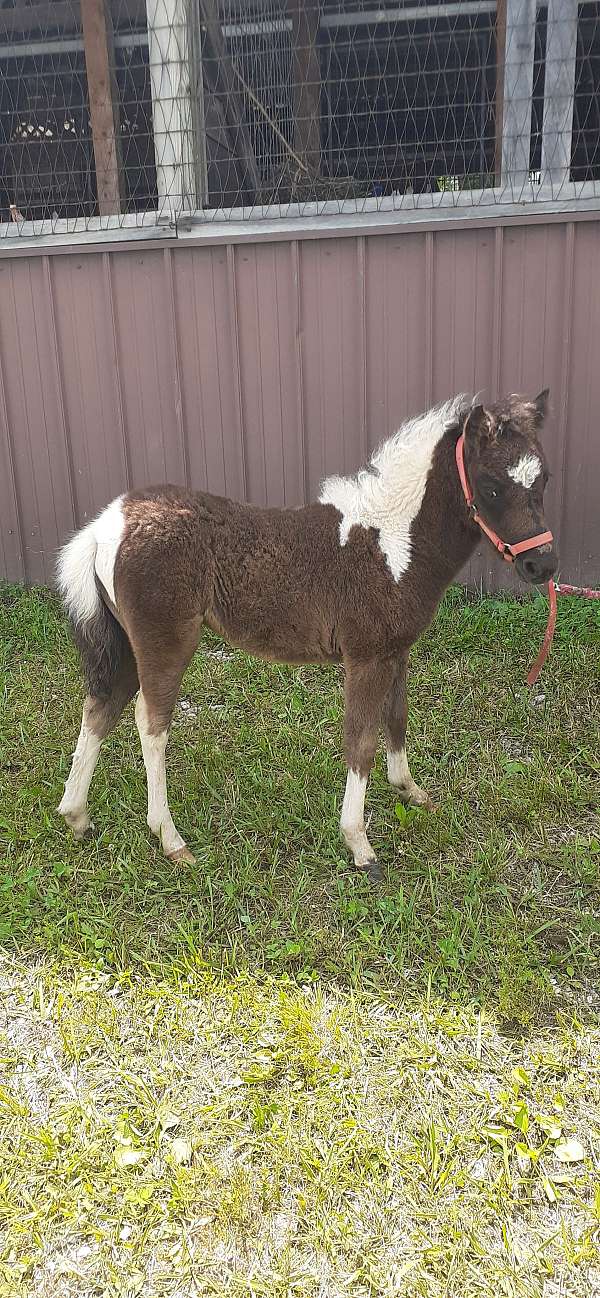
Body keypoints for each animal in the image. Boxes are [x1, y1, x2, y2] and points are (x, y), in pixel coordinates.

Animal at [57, 391, 558, 882]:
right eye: (491, 486)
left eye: (544, 479)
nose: (542, 565)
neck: (394, 543)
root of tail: (107, 525)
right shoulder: (367, 658)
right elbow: (361, 740)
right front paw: (359, 845)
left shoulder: (395, 651)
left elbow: (396, 719)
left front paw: (410, 791)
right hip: (166, 641)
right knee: (150, 721)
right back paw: (170, 839)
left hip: (127, 643)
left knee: (101, 705)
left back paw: (77, 816)